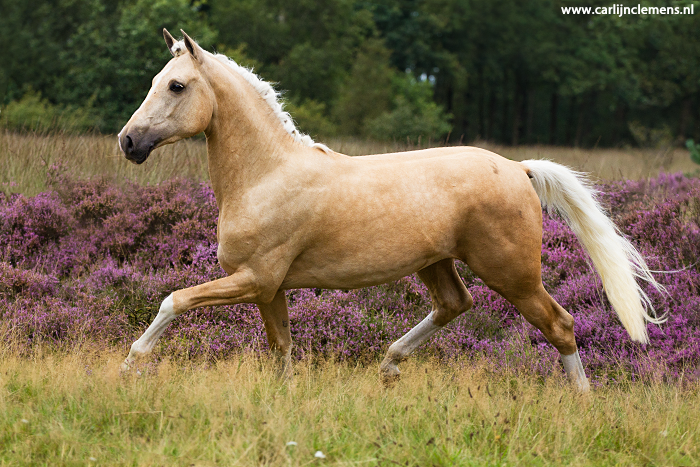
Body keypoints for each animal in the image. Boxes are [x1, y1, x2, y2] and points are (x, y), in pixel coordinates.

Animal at [117, 31, 664, 394]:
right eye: (157, 80)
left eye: (177, 86)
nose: (128, 142)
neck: (264, 176)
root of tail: (518, 168)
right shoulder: (270, 290)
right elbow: (282, 351)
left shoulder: (254, 279)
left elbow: (174, 300)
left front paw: (129, 365)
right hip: (436, 264)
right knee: (455, 304)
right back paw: (389, 364)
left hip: (513, 274)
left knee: (559, 324)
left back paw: (583, 402)